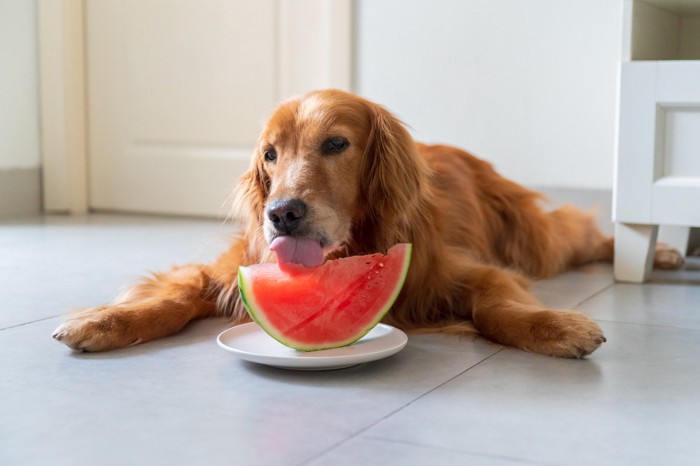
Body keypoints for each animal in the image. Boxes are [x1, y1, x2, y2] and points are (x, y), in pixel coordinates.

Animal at [52, 88, 680, 356]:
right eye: (270, 155)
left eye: (336, 144)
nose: (282, 214)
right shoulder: (228, 269)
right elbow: (171, 298)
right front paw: (105, 320)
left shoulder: (465, 271)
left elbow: (497, 306)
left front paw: (552, 326)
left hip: (531, 236)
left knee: (582, 232)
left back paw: (660, 253)